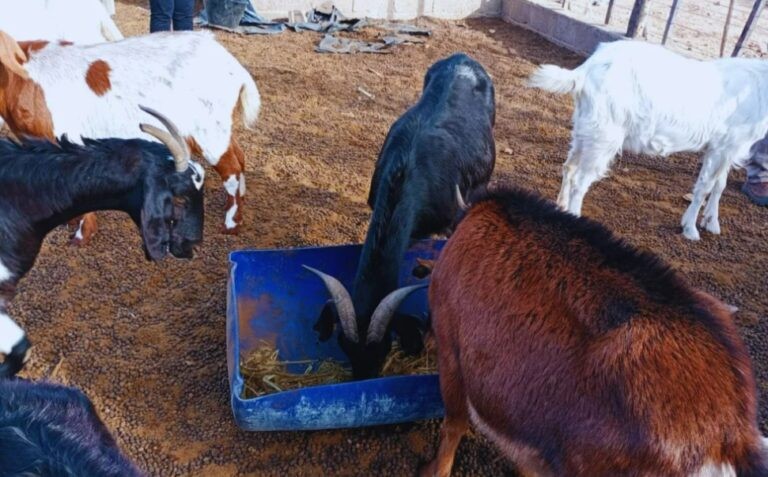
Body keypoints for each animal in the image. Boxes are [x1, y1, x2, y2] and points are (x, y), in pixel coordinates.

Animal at [0, 29, 259, 244]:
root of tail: (233, 64)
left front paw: (81, 236)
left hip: (209, 130)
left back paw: (231, 224)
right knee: (239, 155)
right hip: (219, 125)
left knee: (231, 167)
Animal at [305, 53, 496, 380]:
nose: (363, 379)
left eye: (383, 350)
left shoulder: (450, 222)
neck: (407, 169)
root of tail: (463, 57)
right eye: (345, 347)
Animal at [527, 39, 768, 240]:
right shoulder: (723, 146)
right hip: (605, 134)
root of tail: (585, 71)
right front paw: (690, 229)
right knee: (580, 179)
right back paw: (576, 216)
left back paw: (561, 206)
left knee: (569, 166)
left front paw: (712, 223)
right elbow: (704, 187)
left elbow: (719, 185)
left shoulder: (729, 147)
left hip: (586, 127)